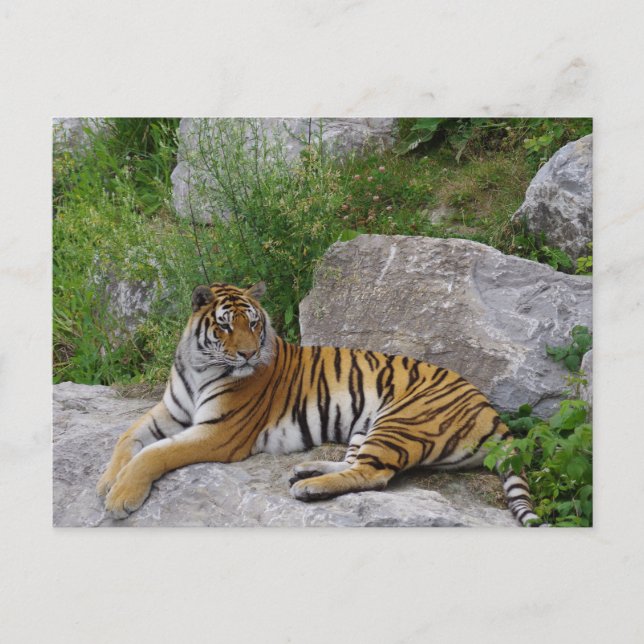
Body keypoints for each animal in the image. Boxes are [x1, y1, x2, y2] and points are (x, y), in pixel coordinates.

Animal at [97, 281, 539, 526]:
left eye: (253, 323)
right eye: (224, 326)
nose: (247, 354)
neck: (198, 365)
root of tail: (492, 411)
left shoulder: (217, 433)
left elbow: (155, 454)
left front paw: (121, 497)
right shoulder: (169, 410)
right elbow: (127, 438)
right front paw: (107, 480)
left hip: (400, 421)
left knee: (374, 475)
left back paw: (308, 488)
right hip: (367, 426)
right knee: (355, 464)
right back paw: (306, 471)